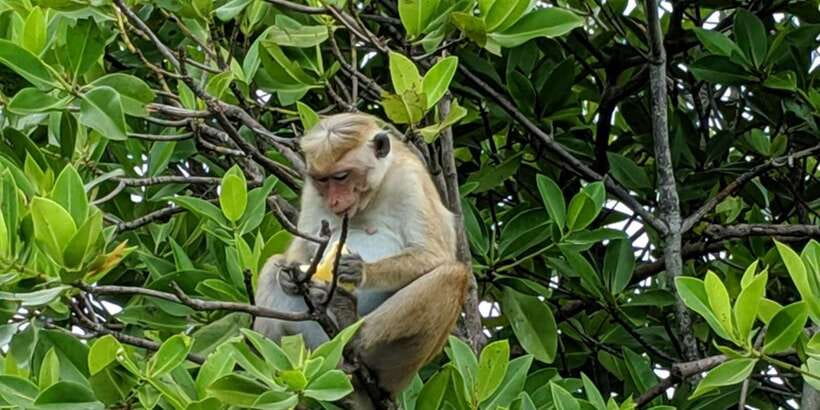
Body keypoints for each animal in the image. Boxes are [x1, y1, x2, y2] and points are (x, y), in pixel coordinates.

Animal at [253, 113, 469, 400]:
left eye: (342, 176)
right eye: (323, 180)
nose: (334, 201)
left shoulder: (409, 180)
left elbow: (435, 254)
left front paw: (359, 271)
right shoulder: (312, 192)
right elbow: (304, 247)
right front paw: (288, 276)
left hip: (396, 368)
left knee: (452, 275)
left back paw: (352, 329)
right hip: (317, 348)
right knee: (269, 267)